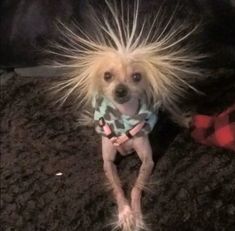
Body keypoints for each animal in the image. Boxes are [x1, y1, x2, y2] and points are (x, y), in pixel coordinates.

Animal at [51, 0, 204, 230]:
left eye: (136, 77)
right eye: (107, 75)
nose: (120, 90)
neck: (123, 119)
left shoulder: (148, 161)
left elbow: (135, 188)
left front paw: (136, 215)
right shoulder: (107, 162)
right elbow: (117, 188)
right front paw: (124, 213)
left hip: (163, 100)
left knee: (171, 107)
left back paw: (183, 119)